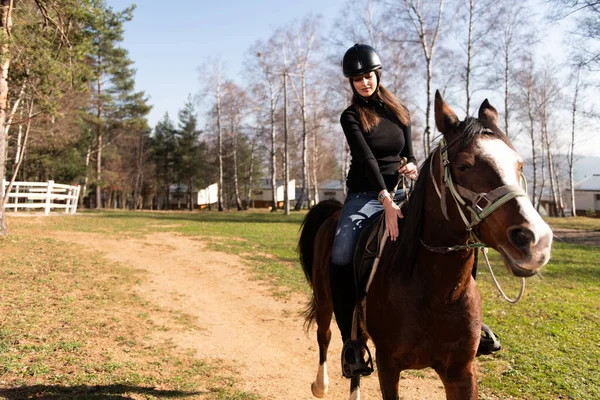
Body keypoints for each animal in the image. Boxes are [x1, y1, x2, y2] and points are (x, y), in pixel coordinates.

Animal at [296, 91, 552, 400]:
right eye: (464, 165)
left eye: (519, 165)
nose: (535, 240)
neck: (434, 291)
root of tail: (334, 212)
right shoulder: (388, 366)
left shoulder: (461, 373)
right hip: (325, 299)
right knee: (326, 334)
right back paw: (321, 383)